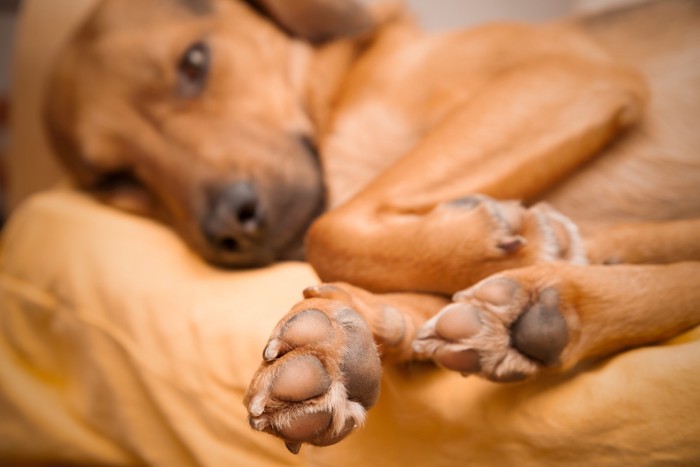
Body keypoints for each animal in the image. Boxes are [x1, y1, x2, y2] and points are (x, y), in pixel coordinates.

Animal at [45, 0, 700, 458]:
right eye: (114, 179)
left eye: (195, 64)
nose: (229, 225)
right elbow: (338, 239)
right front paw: (354, 332)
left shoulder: (564, 76)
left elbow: (328, 230)